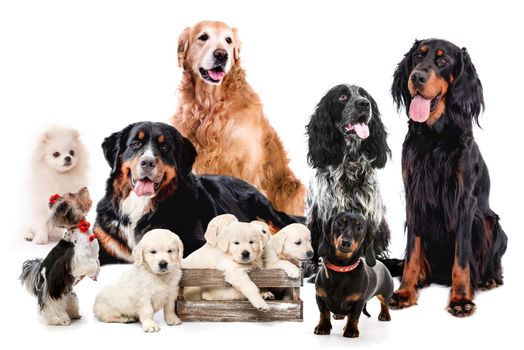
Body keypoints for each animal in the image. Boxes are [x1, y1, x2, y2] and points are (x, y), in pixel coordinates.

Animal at [174, 21, 304, 216]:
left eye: (228, 40)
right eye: (203, 37)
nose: (222, 55)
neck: (211, 105)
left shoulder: (247, 166)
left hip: (293, 188)